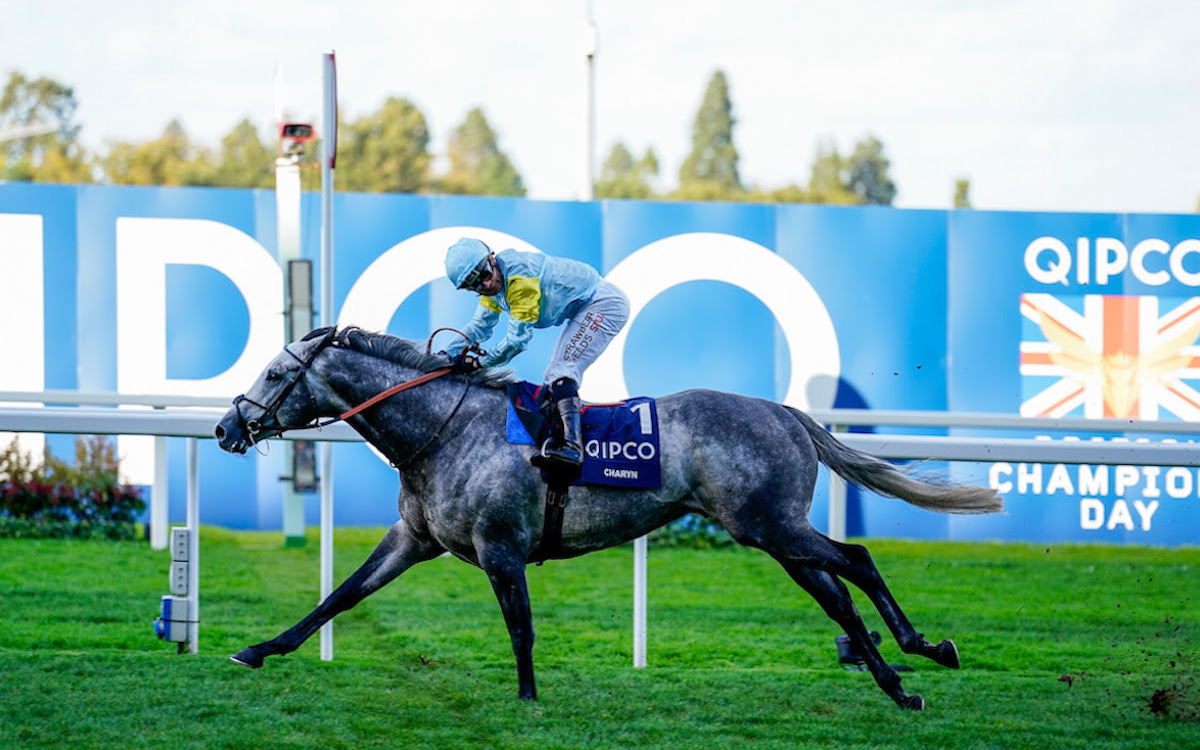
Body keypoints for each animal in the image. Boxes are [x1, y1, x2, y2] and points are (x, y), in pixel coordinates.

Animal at [216, 326, 1003, 705]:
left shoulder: (500, 547)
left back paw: (923, 650)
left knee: (858, 562)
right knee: (837, 595)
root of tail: (786, 412)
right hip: (773, 535)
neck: (442, 428)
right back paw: (900, 683)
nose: (226, 428)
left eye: (275, 373)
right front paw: (258, 649)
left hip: (771, 527)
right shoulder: (414, 539)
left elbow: (521, 628)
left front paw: (528, 699)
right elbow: (339, 596)